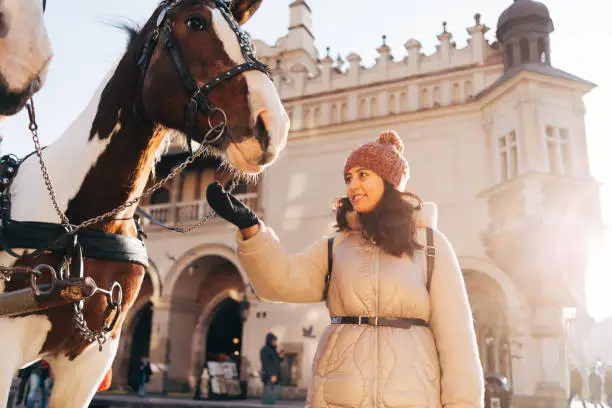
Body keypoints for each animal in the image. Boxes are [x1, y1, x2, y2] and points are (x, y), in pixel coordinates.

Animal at [0, 1, 288, 406]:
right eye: (195, 22)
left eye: (244, 36)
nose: (273, 125)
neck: (83, 227)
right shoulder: (6, 343)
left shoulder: (89, 360)